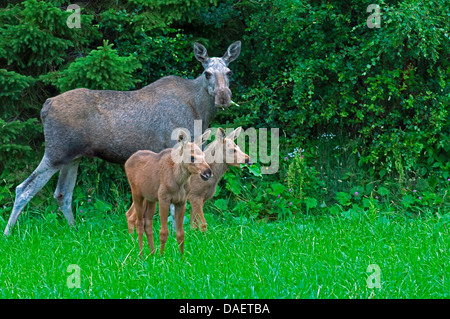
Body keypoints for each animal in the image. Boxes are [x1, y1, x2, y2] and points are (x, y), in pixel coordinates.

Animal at [4, 40, 243, 236]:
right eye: (207, 73)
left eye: (229, 71)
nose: (223, 96)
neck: (200, 112)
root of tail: (46, 106)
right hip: (56, 152)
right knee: (24, 188)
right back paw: (8, 234)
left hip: (72, 157)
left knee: (62, 193)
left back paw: (74, 230)